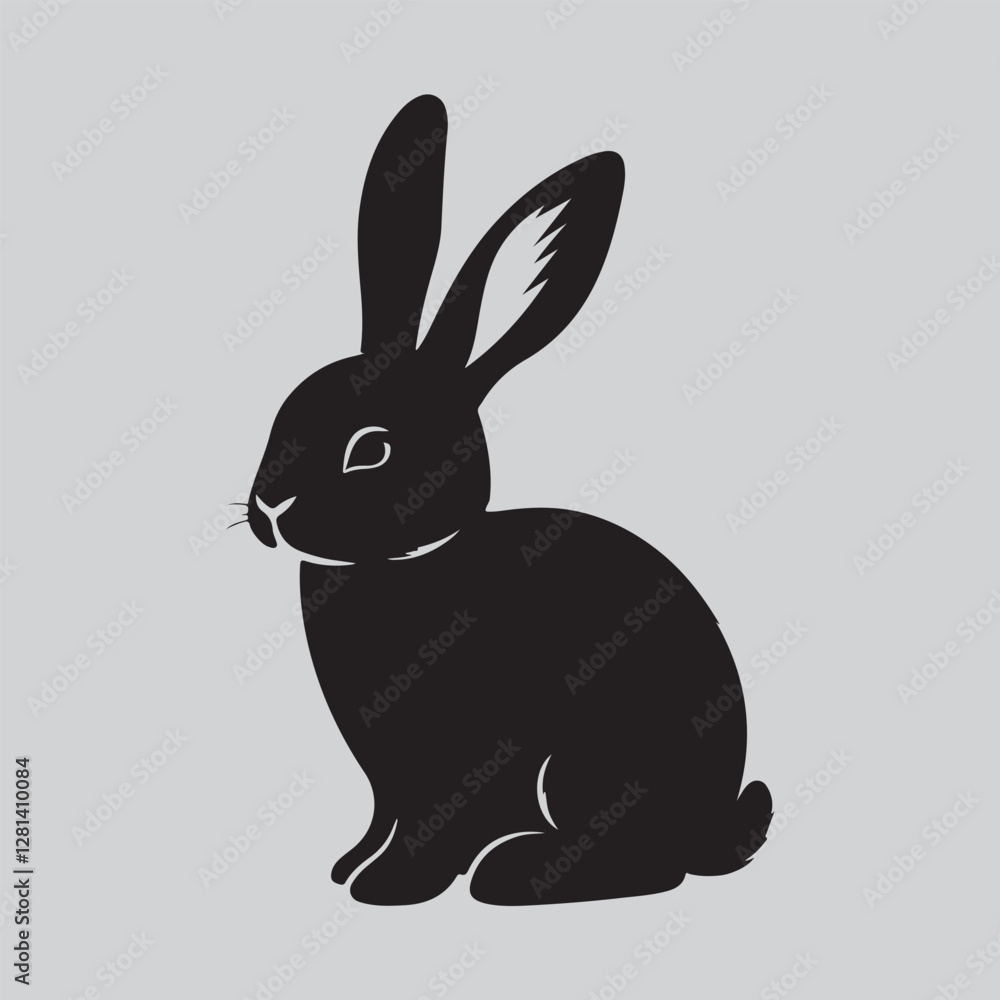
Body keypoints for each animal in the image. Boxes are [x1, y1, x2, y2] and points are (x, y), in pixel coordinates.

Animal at [244, 94, 772, 905]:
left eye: (372, 449)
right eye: (285, 413)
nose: (270, 510)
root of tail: (714, 827)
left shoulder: (461, 757)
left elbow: (437, 823)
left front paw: (388, 887)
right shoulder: (387, 780)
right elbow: (382, 813)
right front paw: (347, 866)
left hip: (589, 766)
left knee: (646, 865)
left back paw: (514, 874)